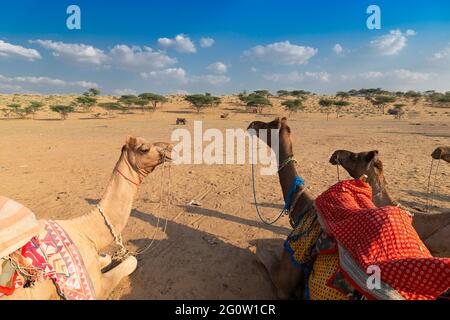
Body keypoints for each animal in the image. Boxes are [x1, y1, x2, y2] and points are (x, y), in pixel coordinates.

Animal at [1, 136, 174, 300]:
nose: (170, 147)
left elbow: (107, 257)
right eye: (144, 148)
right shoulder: (96, 287)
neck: (87, 232)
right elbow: (132, 261)